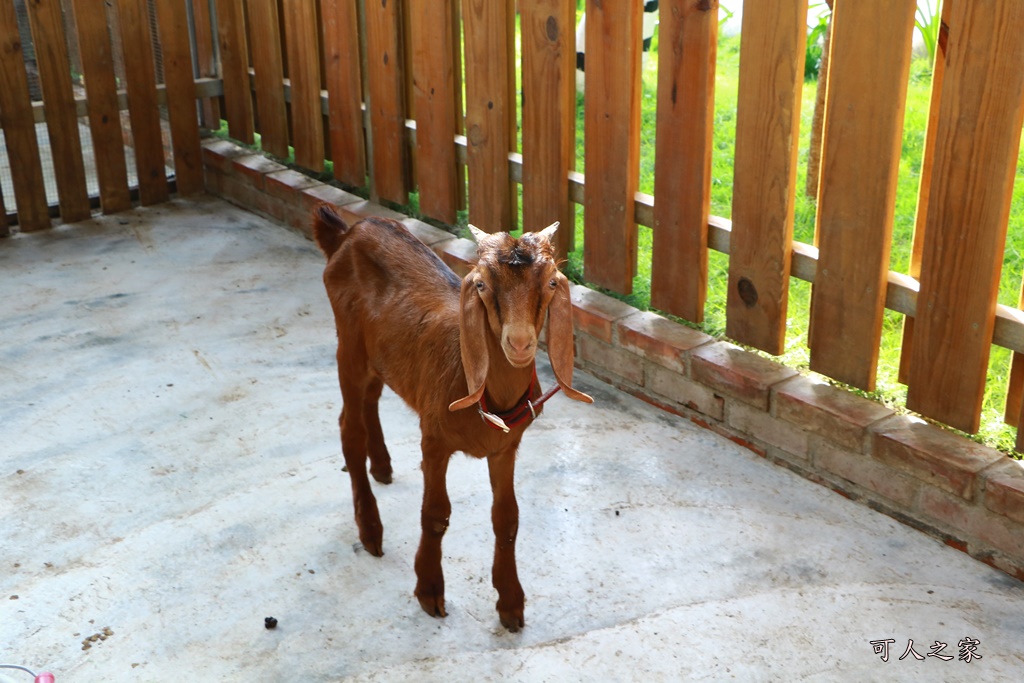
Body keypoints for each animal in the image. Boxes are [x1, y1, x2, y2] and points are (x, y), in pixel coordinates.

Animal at [315, 202, 598, 630]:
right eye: (481, 285)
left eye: (551, 283)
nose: (519, 343)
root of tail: (349, 232)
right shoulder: (433, 440)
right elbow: (435, 514)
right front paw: (429, 590)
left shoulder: (505, 447)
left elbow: (507, 518)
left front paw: (511, 603)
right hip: (349, 347)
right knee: (349, 427)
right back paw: (371, 529)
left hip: (379, 355)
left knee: (371, 400)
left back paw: (381, 465)